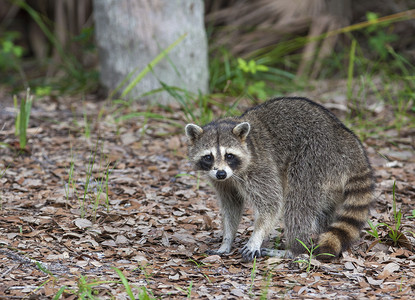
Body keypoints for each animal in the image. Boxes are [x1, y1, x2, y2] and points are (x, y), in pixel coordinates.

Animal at [185, 97, 374, 262]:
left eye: (229, 155)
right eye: (208, 157)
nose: (221, 173)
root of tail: (351, 143)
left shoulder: (260, 165)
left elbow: (271, 204)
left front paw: (256, 237)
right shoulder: (223, 181)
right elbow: (232, 205)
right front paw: (227, 240)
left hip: (316, 157)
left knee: (297, 203)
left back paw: (294, 249)